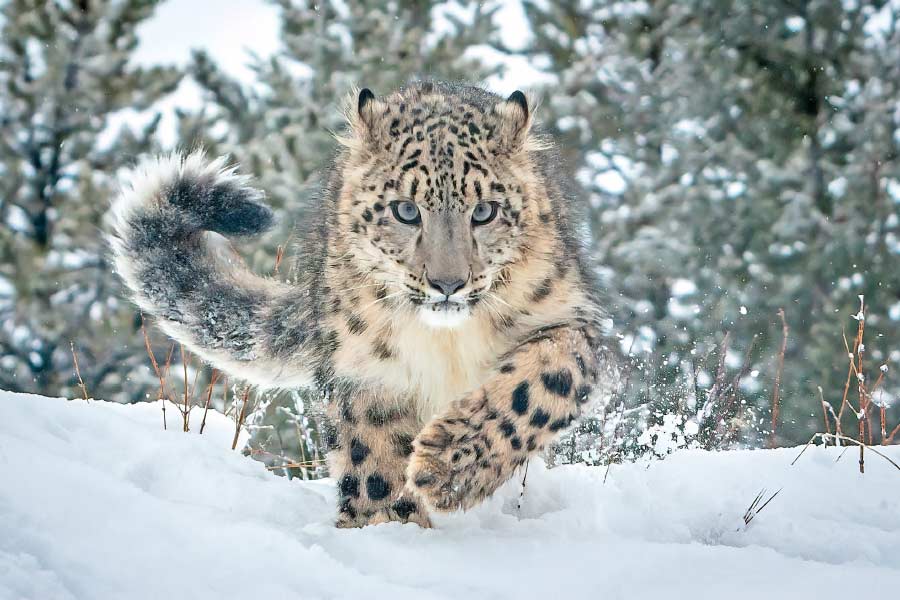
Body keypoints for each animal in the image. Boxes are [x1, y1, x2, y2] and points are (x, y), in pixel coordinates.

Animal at [110, 81, 619, 528]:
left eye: (484, 211)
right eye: (406, 210)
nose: (448, 283)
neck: (446, 342)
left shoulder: (567, 319)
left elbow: (538, 386)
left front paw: (447, 470)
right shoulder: (367, 369)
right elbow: (374, 458)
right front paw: (390, 526)